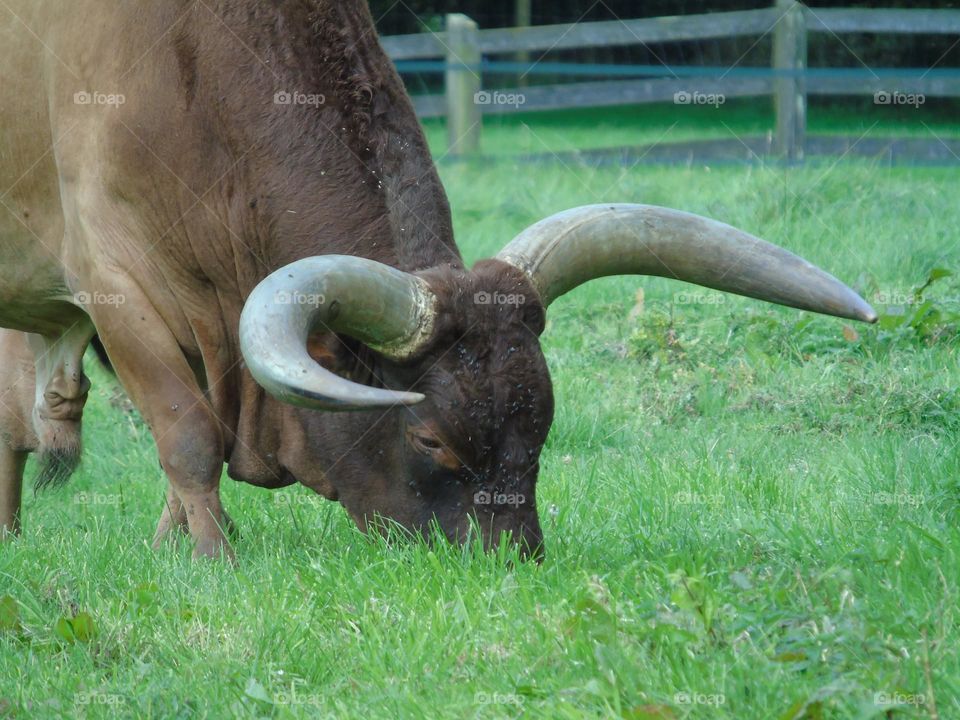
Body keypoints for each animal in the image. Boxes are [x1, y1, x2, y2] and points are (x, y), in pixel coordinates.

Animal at [0, 0, 876, 560]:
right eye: (427, 437)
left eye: (542, 421)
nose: (513, 560)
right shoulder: (118, 287)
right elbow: (187, 439)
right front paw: (217, 565)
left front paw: (170, 551)